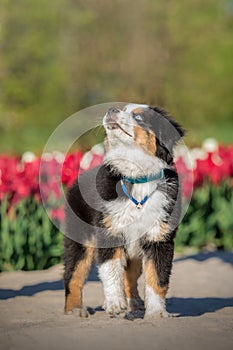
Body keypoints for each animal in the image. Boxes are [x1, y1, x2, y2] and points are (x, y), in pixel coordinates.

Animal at [63, 102, 184, 318]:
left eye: (139, 117)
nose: (111, 110)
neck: (137, 179)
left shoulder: (159, 237)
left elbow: (157, 278)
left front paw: (157, 313)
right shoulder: (108, 232)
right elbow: (111, 271)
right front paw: (114, 304)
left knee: (131, 276)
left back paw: (134, 303)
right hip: (80, 239)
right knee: (73, 274)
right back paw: (75, 309)